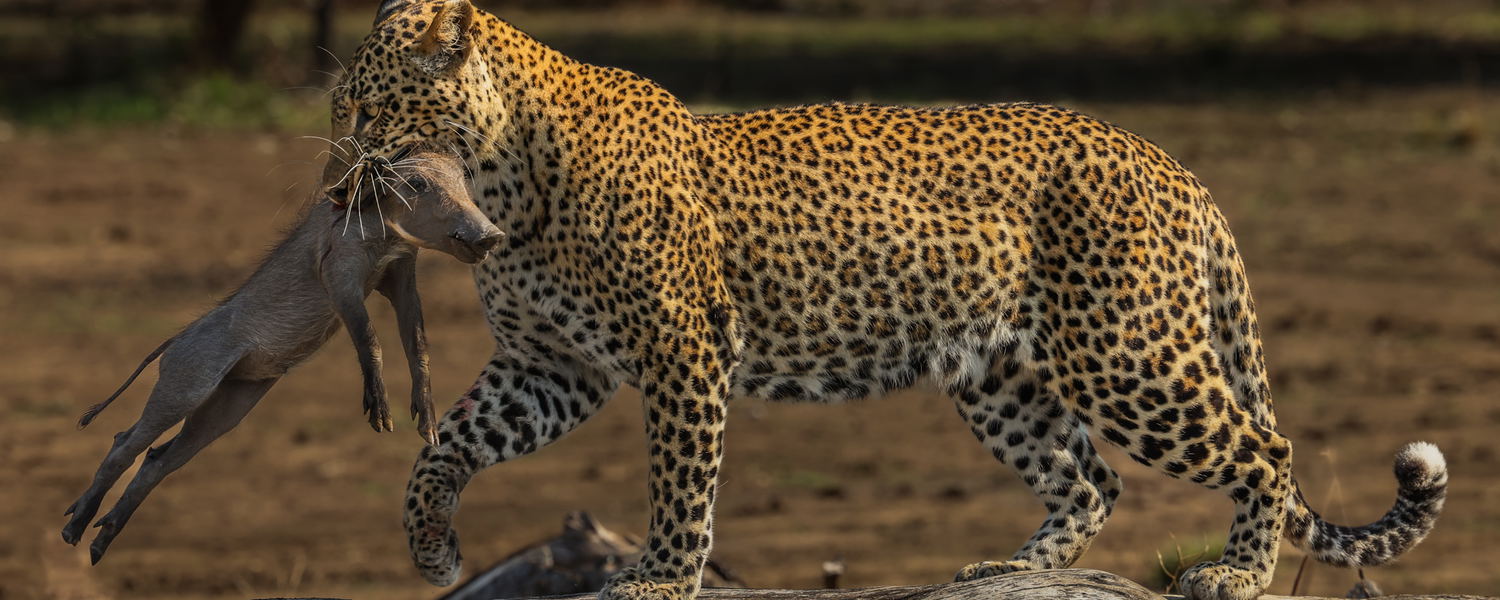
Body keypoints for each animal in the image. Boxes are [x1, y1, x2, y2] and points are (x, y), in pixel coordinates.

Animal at [319, 2, 1449, 599]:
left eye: (369, 108)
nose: (334, 182)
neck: (503, 177)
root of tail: (1170, 163)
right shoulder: (550, 365)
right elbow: (447, 444)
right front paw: (432, 545)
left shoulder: (681, 353)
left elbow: (680, 488)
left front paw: (661, 579)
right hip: (1000, 375)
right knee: (1090, 481)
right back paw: (1001, 570)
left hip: (1125, 353)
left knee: (1264, 450)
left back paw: (1237, 575)